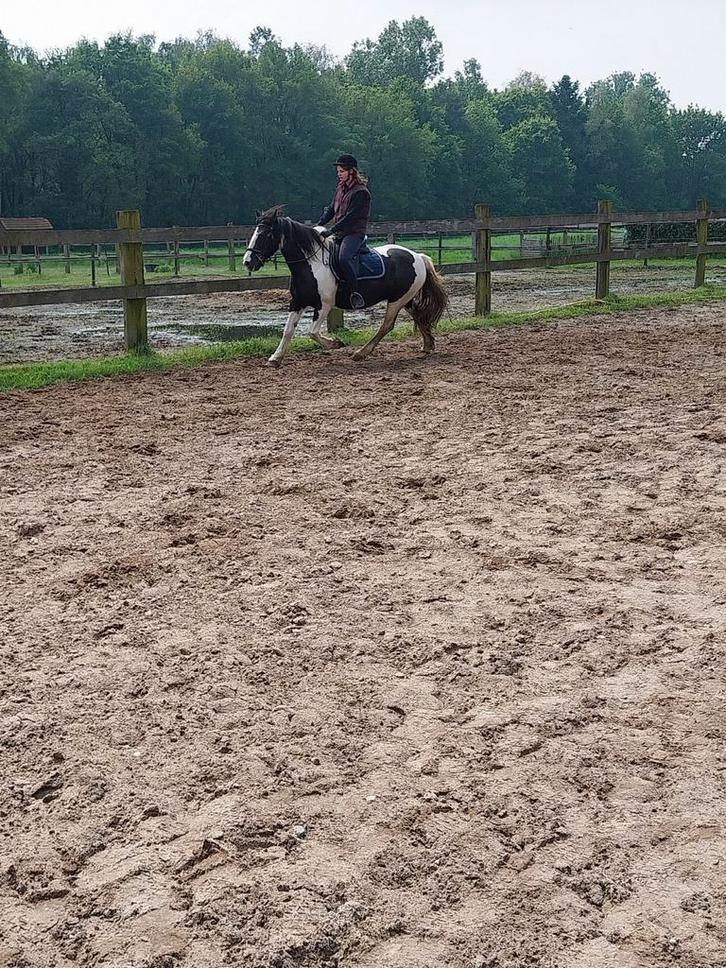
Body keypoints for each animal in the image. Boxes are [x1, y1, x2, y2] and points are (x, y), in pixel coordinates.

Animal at [242, 206, 448, 367]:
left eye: (265, 234)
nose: (248, 262)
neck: (312, 264)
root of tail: (418, 256)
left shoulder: (323, 305)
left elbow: (312, 332)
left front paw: (336, 343)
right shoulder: (297, 302)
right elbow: (288, 331)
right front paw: (275, 358)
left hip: (397, 301)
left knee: (387, 326)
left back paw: (361, 353)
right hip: (405, 299)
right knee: (418, 315)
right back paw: (427, 345)